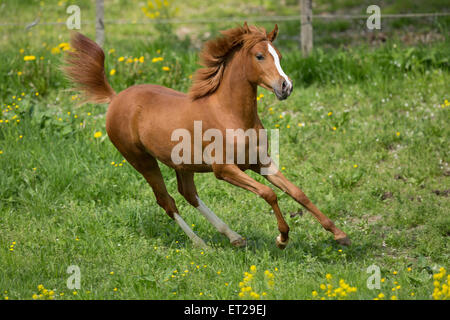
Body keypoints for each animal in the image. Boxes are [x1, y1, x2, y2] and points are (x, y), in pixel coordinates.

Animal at [63, 23, 352, 250]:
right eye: (260, 56)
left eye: (279, 55)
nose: (286, 87)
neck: (230, 115)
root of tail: (115, 98)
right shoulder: (224, 169)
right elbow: (269, 193)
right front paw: (282, 238)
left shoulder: (261, 162)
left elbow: (298, 193)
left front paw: (340, 235)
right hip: (142, 161)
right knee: (167, 201)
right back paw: (201, 244)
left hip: (181, 164)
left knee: (188, 194)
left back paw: (234, 237)